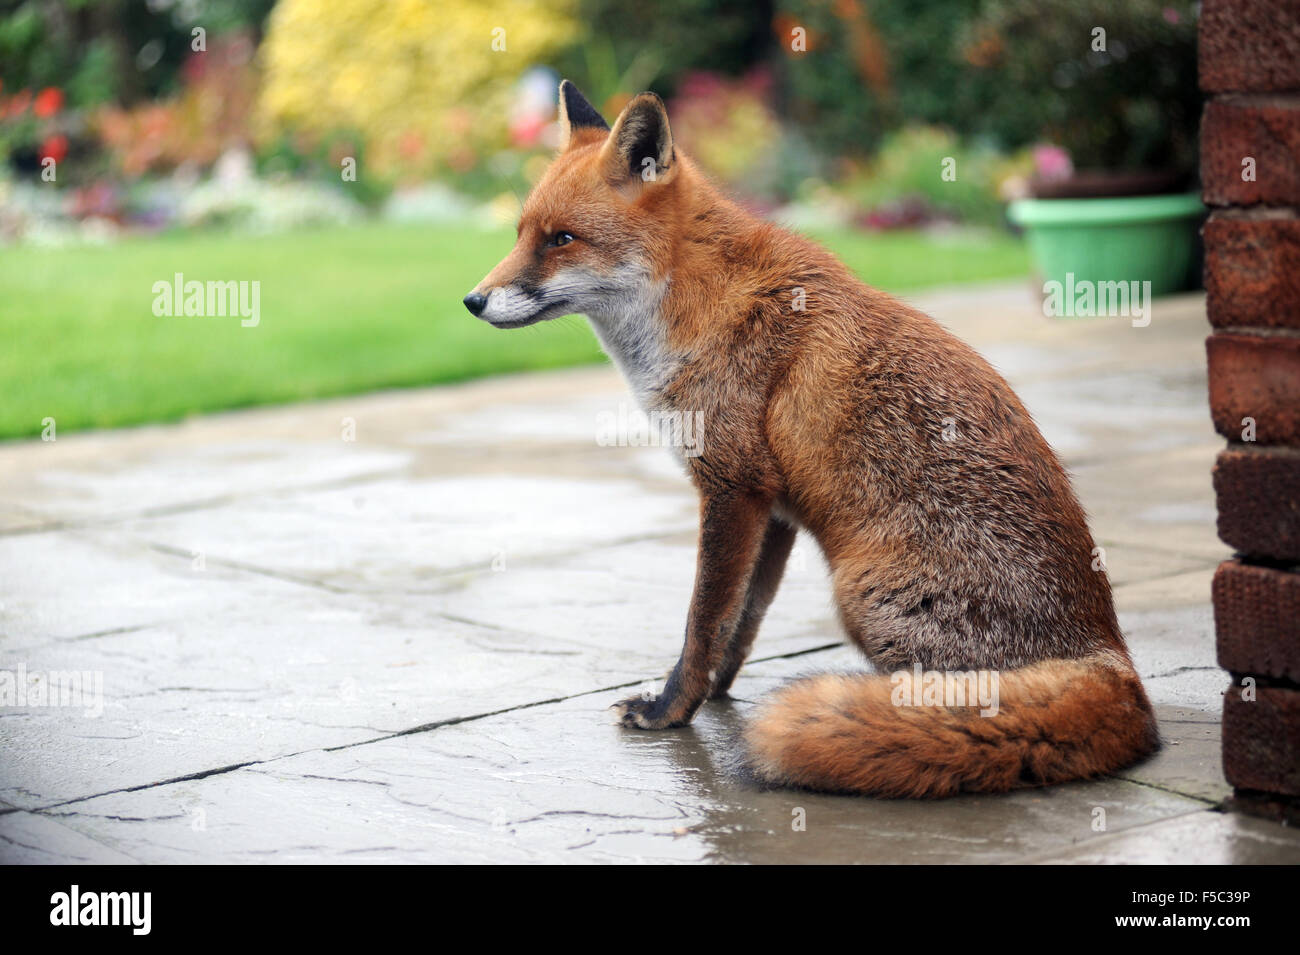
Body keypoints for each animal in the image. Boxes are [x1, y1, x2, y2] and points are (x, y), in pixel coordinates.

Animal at [465, 83, 1159, 800]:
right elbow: (741, 618)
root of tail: (1116, 663)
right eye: (521, 234)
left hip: (862, 594)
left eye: (562, 239)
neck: (694, 301)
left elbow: (702, 618)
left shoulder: (732, 485)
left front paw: (670, 709)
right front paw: (713, 694)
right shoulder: (770, 506)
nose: (471, 300)